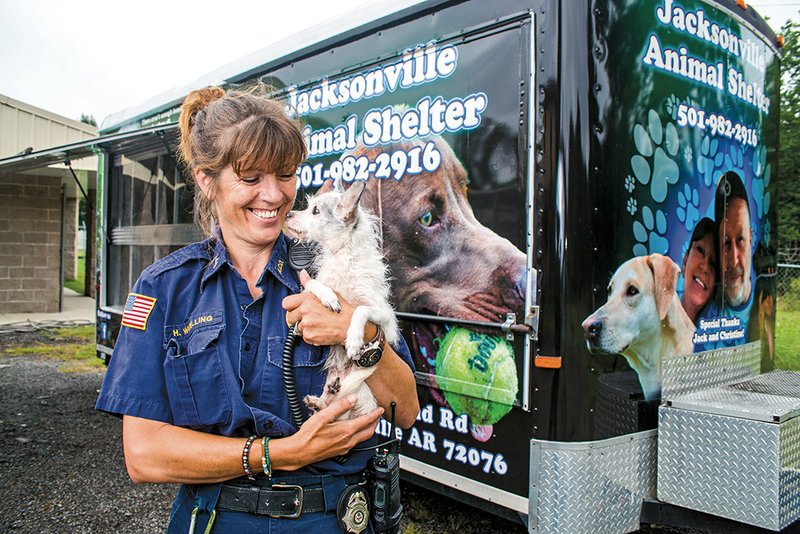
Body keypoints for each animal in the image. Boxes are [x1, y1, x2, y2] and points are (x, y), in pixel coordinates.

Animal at [286, 178, 400, 420]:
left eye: (315, 211)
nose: (289, 214)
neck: (341, 255)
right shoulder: (309, 289)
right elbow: (313, 284)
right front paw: (328, 297)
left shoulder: (384, 316)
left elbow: (360, 310)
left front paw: (354, 338)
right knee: (327, 403)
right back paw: (320, 400)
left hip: (361, 388)